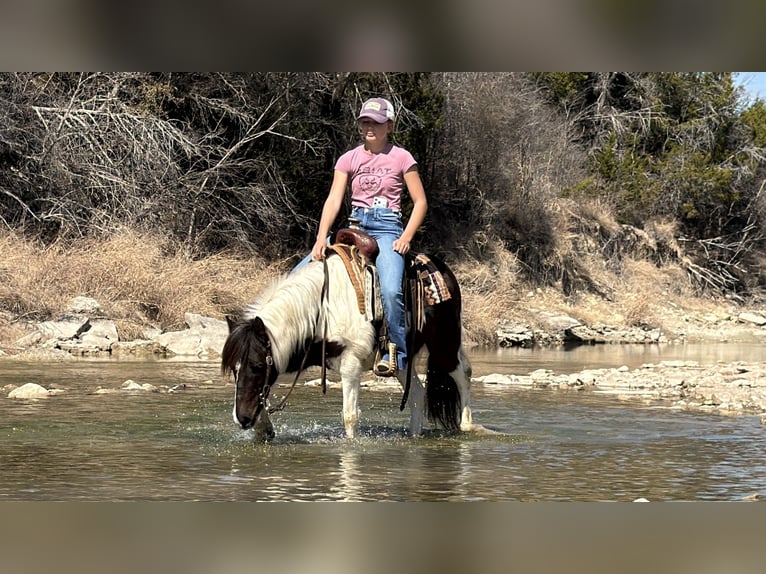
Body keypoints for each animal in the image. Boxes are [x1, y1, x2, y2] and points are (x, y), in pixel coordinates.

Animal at [221, 249, 473, 441]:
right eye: (234, 369)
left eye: (257, 366)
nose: (242, 419)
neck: (322, 310)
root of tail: (443, 269)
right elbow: (264, 395)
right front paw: (264, 429)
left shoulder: (350, 363)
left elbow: (350, 415)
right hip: (402, 361)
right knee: (417, 394)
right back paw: (414, 436)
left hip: (444, 345)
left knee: (462, 375)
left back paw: (467, 425)